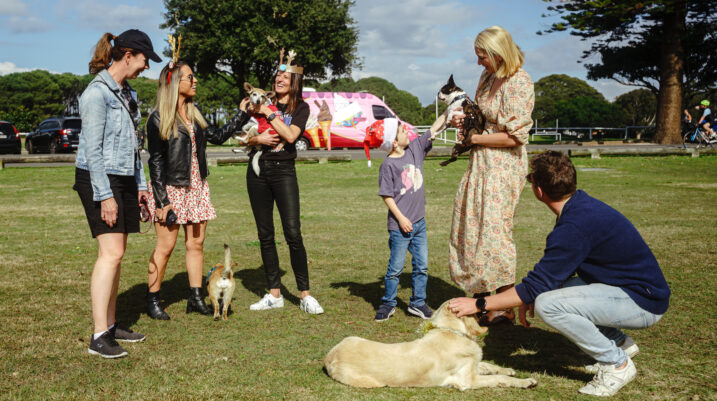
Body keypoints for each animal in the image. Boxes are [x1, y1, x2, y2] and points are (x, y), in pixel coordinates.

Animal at [324, 301, 537, 390]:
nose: (482, 302)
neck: (451, 332)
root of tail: (330, 357)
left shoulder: (473, 366)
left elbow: (489, 365)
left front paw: (508, 369)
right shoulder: (468, 380)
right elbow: (498, 378)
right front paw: (526, 381)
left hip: (351, 337)